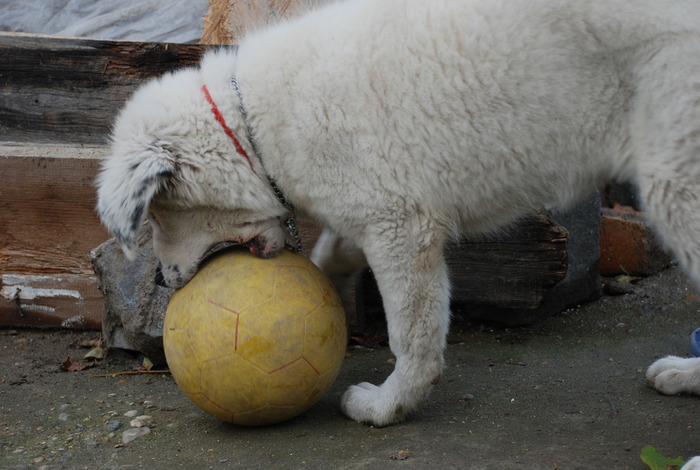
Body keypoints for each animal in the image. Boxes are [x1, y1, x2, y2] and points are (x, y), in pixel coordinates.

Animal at [97, 0, 700, 438]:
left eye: (158, 220)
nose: (162, 279)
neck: (252, 124)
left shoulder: (401, 228)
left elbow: (412, 332)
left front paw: (389, 406)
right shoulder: (374, 205)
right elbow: (334, 251)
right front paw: (332, 292)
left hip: (677, 182)